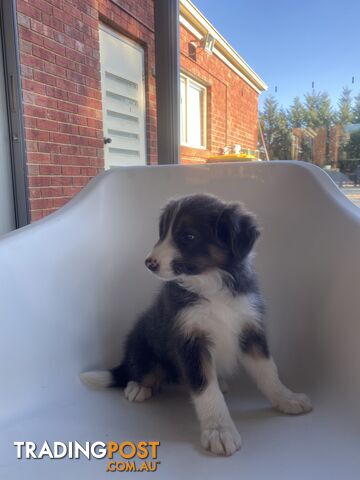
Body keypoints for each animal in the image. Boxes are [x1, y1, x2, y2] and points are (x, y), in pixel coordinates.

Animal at [81, 193, 312, 456]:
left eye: (188, 237)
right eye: (163, 232)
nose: (149, 263)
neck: (211, 283)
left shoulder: (250, 328)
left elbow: (268, 372)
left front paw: (287, 399)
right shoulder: (190, 341)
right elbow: (206, 390)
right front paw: (219, 431)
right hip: (142, 342)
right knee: (142, 370)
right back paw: (139, 386)